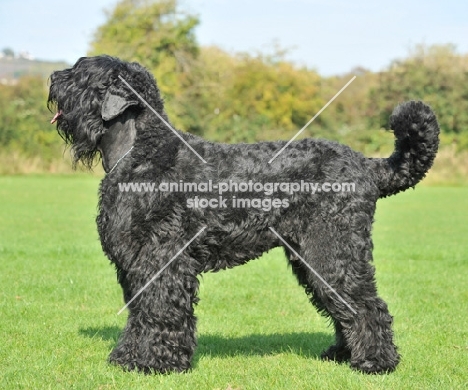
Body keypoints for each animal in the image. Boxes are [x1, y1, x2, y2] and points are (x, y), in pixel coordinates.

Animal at [47, 55, 438, 374]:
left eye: (82, 73)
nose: (53, 78)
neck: (141, 153)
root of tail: (368, 166)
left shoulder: (162, 259)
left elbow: (157, 309)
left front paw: (154, 363)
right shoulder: (134, 262)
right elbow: (138, 311)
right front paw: (130, 357)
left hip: (333, 251)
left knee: (368, 305)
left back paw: (375, 362)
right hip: (312, 257)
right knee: (344, 305)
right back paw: (343, 355)